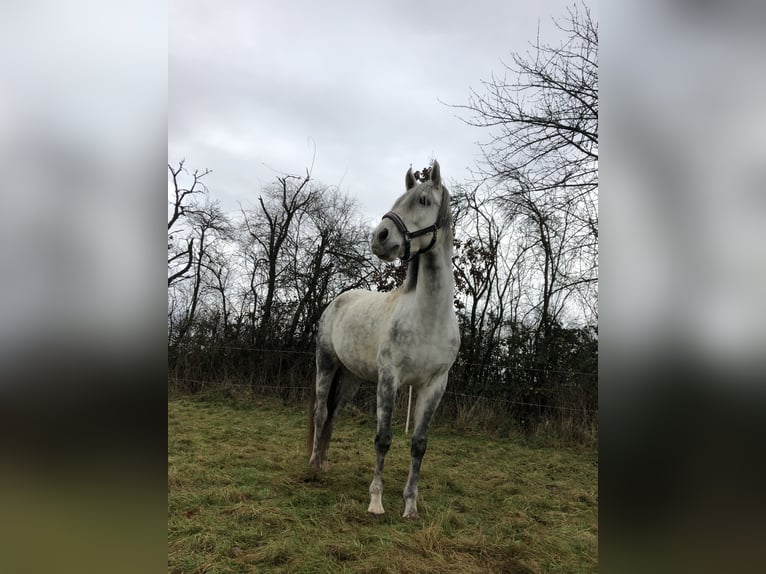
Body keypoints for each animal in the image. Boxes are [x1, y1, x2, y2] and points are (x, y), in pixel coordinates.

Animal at [307, 160, 460, 519]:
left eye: (422, 200)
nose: (380, 237)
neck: (428, 318)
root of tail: (338, 300)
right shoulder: (389, 379)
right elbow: (383, 438)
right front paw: (376, 501)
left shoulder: (434, 385)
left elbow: (419, 444)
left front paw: (411, 506)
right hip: (326, 364)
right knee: (321, 412)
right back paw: (313, 467)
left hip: (350, 378)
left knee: (333, 414)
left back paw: (325, 463)